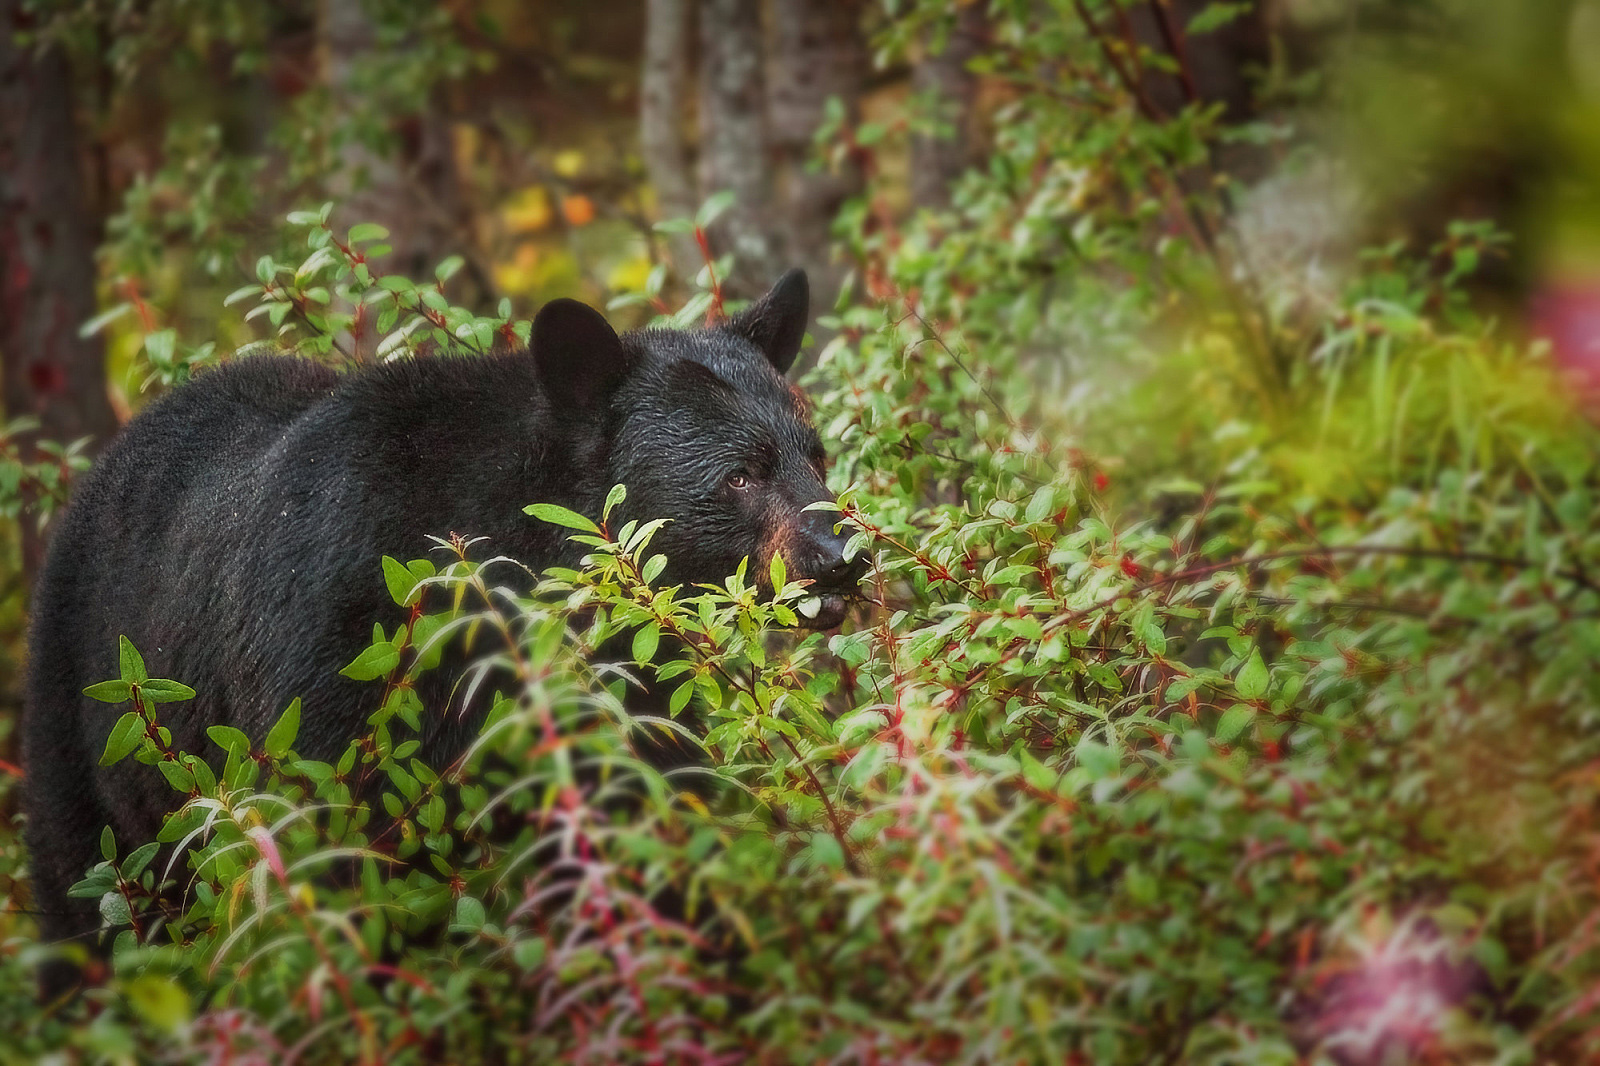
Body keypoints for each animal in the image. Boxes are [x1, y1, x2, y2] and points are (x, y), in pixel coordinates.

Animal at [18, 267, 864, 979]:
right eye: (741, 475)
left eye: (815, 455)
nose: (843, 554)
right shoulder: (338, 650)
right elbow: (336, 843)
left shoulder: (631, 696)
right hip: (85, 736)